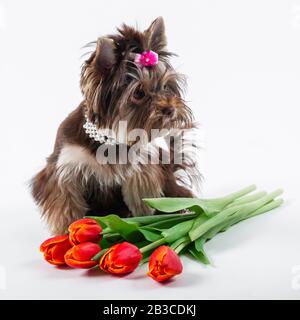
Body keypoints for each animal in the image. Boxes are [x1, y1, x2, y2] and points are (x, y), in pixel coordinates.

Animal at [30, 16, 200, 235]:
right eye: (138, 93)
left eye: (165, 86)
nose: (171, 109)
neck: (108, 140)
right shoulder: (65, 168)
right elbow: (66, 204)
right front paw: (66, 233)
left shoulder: (141, 170)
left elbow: (141, 197)